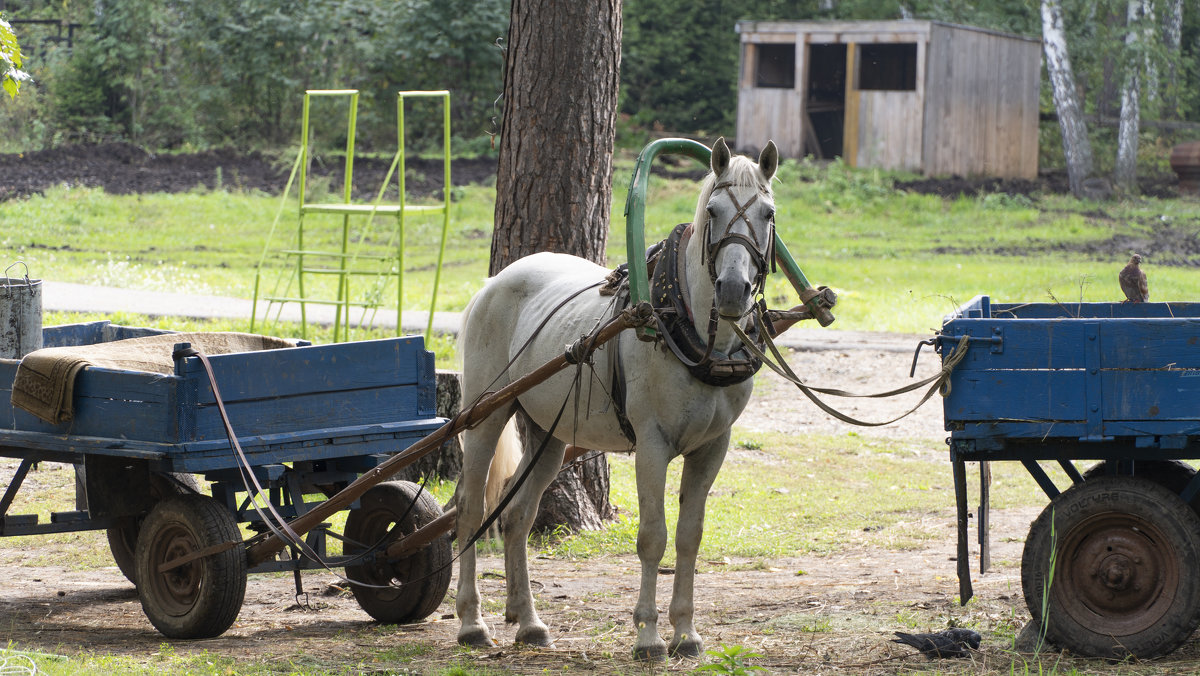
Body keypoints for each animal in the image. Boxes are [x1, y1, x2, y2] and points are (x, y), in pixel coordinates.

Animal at [451, 138, 777, 662]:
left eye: (768, 213)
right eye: (713, 211)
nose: (732, 290)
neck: (686, 328)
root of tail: (494, 283)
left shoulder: (713, 447)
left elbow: (688, 537)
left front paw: (686, 632)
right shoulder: (653, 445)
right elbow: (653, 538)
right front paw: (648, 635)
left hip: (548, 433)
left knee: (517, 516)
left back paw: (529, 621)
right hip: (486, 414)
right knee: (471, 508)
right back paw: (471, 622)